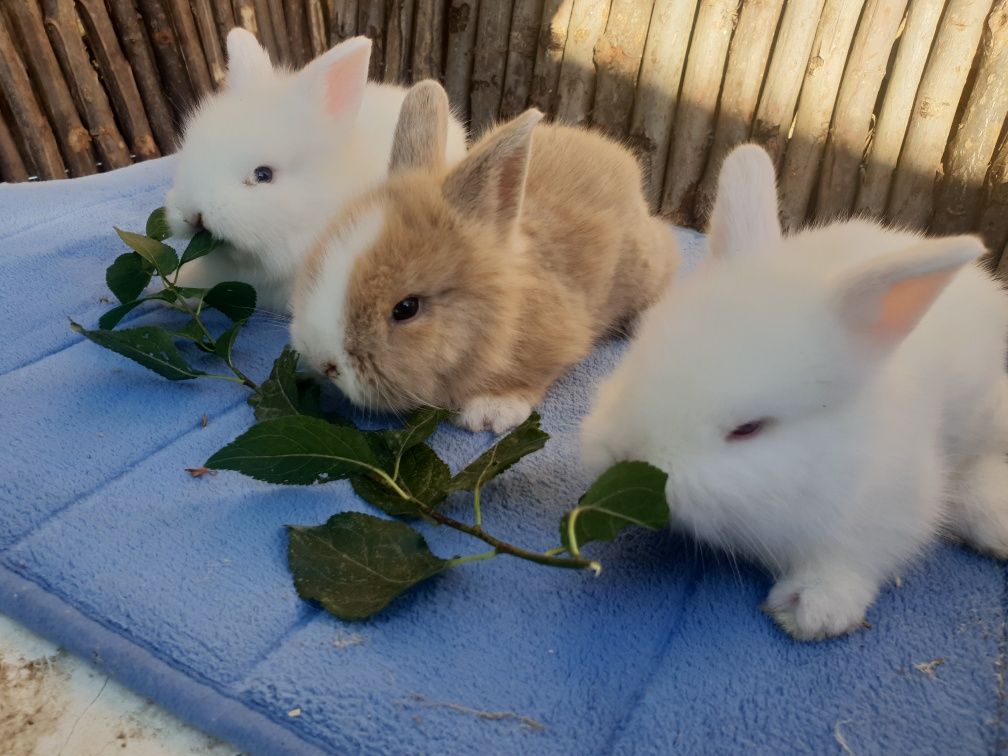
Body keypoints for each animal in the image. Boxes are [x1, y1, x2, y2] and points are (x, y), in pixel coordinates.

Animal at [580, 145, 1008, 641]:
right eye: (639, 356)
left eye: (748, 429)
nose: (623, 454)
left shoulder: (892, 506)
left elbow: (860, 556)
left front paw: (811, 608)